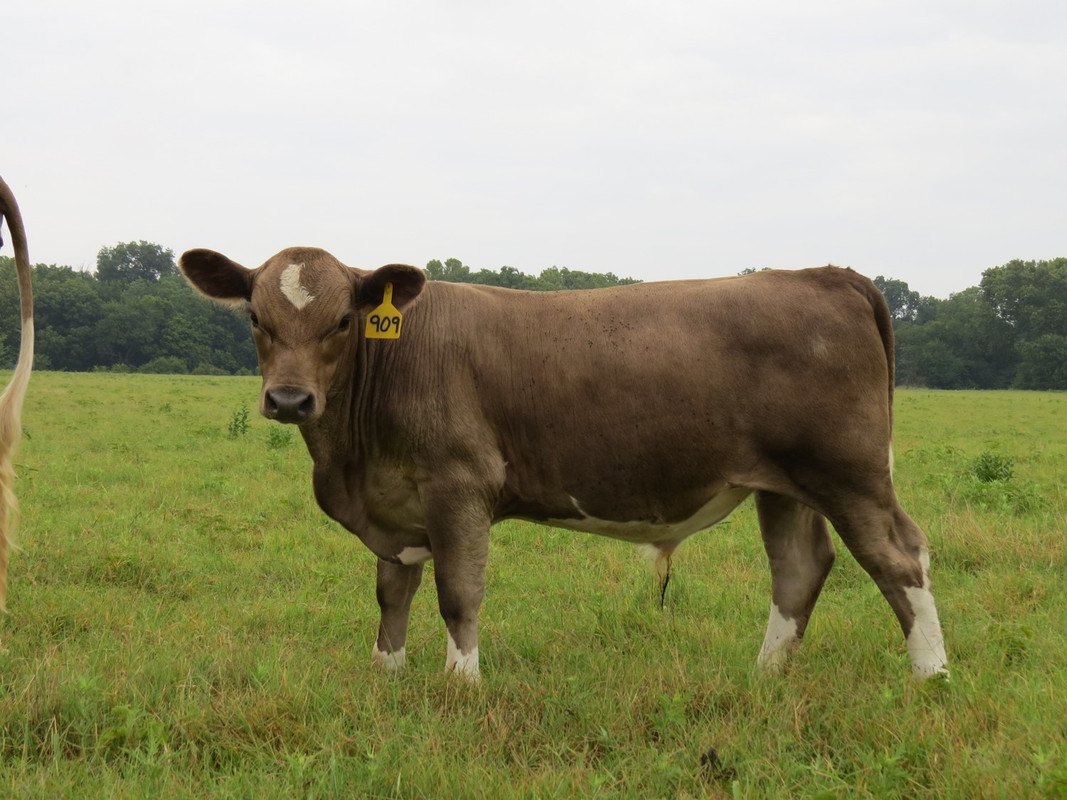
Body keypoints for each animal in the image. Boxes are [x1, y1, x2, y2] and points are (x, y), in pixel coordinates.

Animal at [180, 246, 949, 682]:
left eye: (344, 320)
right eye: (254, 317)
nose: (289, 398)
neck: (352, 460)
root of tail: (825, 275)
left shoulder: (459, 486)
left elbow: (459, 594)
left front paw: (461, 688)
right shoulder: (395, 505)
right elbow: (391, 592)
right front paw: (386, 678)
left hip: (848, 471)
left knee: (897, 557)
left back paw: (929, 678)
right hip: (783, 482)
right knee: (798, 567)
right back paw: (764, 678)